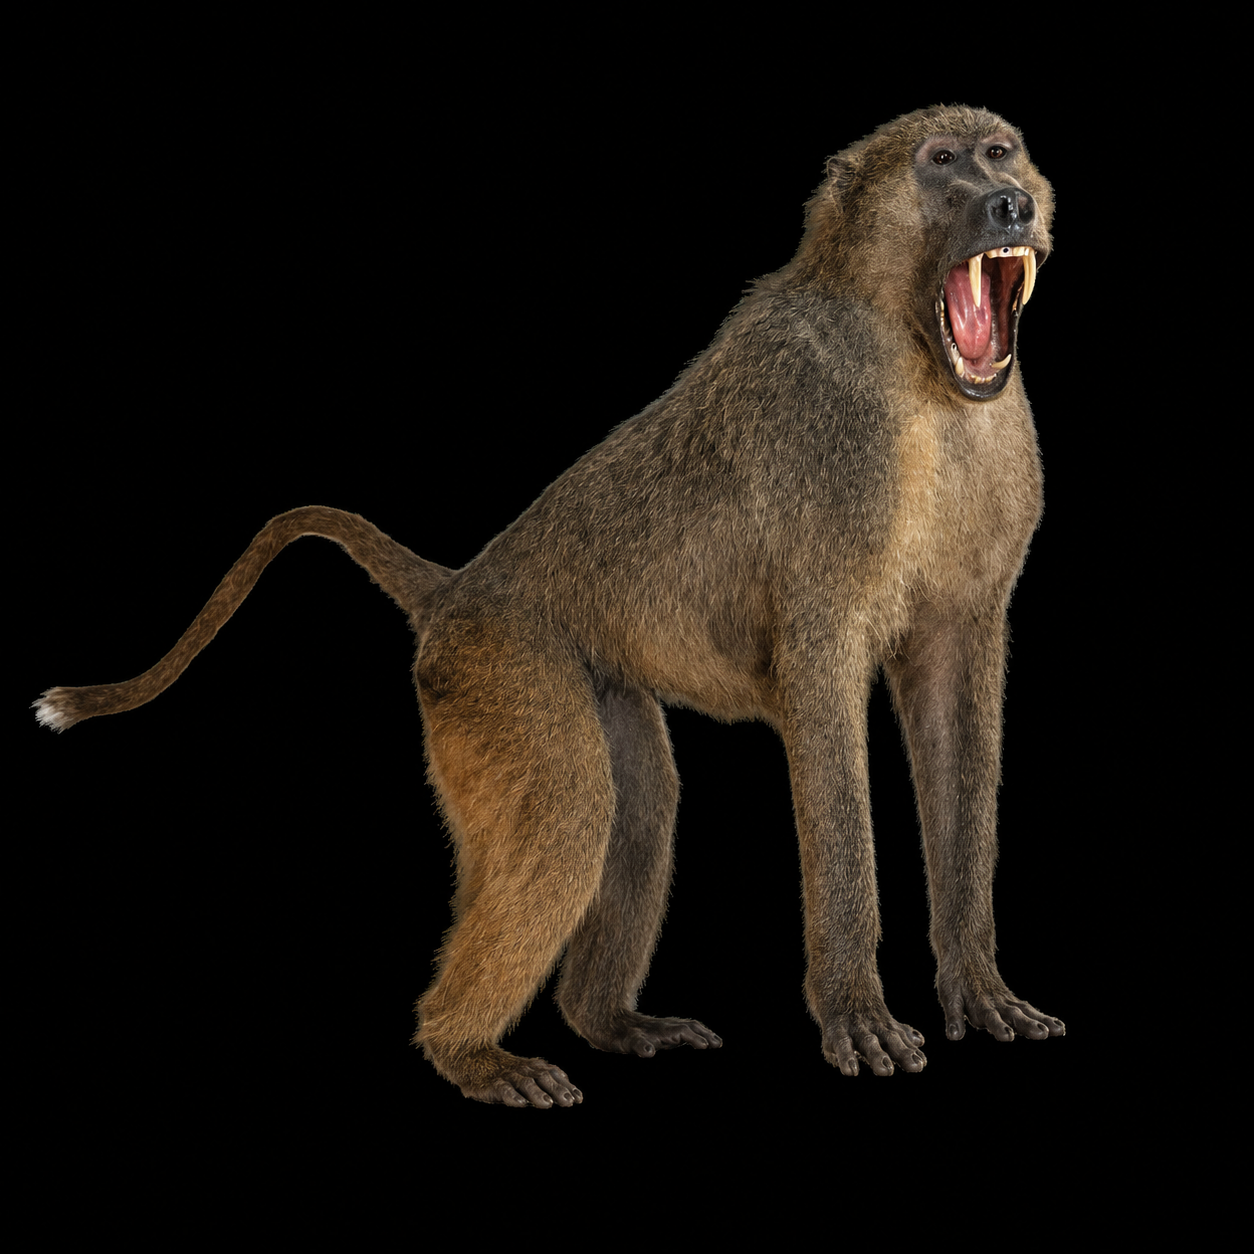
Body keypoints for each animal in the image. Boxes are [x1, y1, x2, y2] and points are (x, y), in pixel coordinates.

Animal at [36, 105, 1064, 1107]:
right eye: (941, 161)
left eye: (1000, 151)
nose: (1010, 204)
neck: (915, 366)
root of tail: (461, 586)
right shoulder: (825, 475)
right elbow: (825, 724)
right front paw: (857, 1015)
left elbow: (952, 716)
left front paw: (978, 988)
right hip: (499, 668)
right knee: (571, 816)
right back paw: (468, 1051)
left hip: (562, 685)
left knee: (634, 812)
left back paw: (605, 1021)